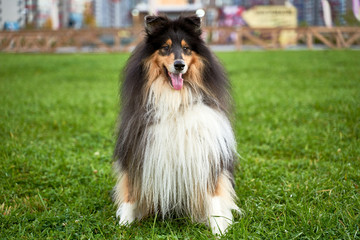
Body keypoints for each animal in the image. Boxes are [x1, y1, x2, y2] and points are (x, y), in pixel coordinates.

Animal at [113, 14, 239, 234]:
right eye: (165, 47)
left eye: (186, 48)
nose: (179, 65)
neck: (175, 100)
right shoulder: (136, 147)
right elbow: (130, 190)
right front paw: (124, 224)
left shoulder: (208, 151)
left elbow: (214, 193)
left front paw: (219, 229)